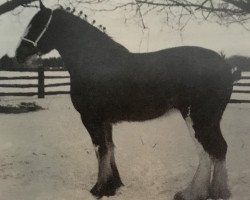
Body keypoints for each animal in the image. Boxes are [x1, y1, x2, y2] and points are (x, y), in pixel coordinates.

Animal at [16, 1, 235, 200]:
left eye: (38, 25)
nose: (19, 55)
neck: (96, 62)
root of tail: (225, 64)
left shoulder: (91, 118)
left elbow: (100, 150)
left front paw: (99, 189)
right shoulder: (105, 121)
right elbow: (109, 149)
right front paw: (114, 185)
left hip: (197, 118)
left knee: (209, 150)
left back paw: (194, 193)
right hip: (209, 119)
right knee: (218, 149)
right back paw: (215, 192)